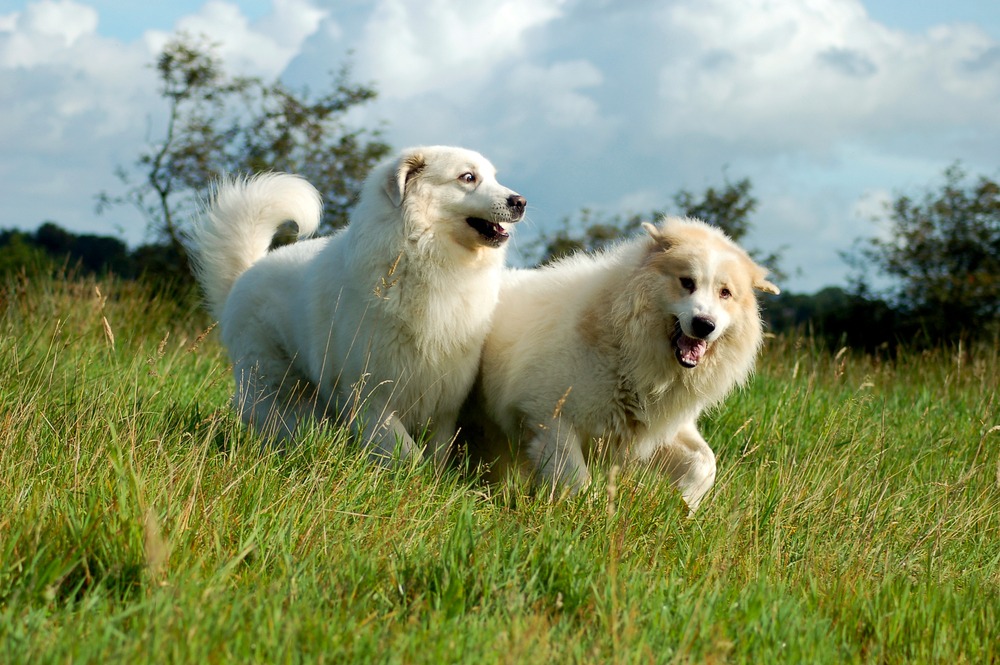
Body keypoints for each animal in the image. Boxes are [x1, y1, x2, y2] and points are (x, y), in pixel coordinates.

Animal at [190, 145, 528, 462]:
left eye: (493, 177)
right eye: (467, 177)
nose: (520, 201)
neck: (421, 253)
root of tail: (246, 273)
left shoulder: (443, 405)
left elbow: (435, 456)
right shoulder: (370, 396)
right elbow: (407, 453)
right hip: (274, 386)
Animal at [460, 217, 780, 508]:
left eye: (725, 293)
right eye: (687, 282)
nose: (704, 325)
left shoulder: (653, 429)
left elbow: (704, 463)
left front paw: (684, 506)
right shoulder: (549, 416)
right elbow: (577, 478)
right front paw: (589, 516)